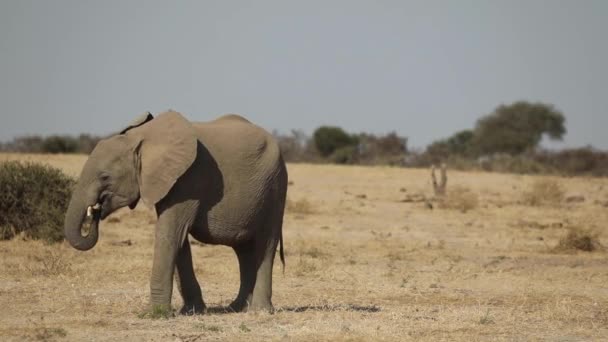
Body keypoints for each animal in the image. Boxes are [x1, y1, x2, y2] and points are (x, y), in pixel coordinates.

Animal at [64, 111, 288, 314]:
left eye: (105, 177)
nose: (96, 210)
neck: (142, 139)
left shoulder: (187, 181)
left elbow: (170, 234)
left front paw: (154, 314)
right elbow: (179, 241)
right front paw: (192, 311)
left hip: (275, 187)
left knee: (265, 245)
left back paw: (259, 310)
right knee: (243, 249)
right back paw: (237, 308)